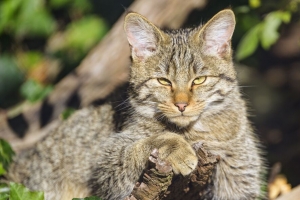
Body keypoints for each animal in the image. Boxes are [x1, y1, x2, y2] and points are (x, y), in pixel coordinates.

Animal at [5, 9, 264, 200]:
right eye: (163, 81)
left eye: (199, 80)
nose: (181, 105)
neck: (194, 132)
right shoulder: (105, 165)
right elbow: (145, 143)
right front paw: (175, 146)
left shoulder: (241, 172)